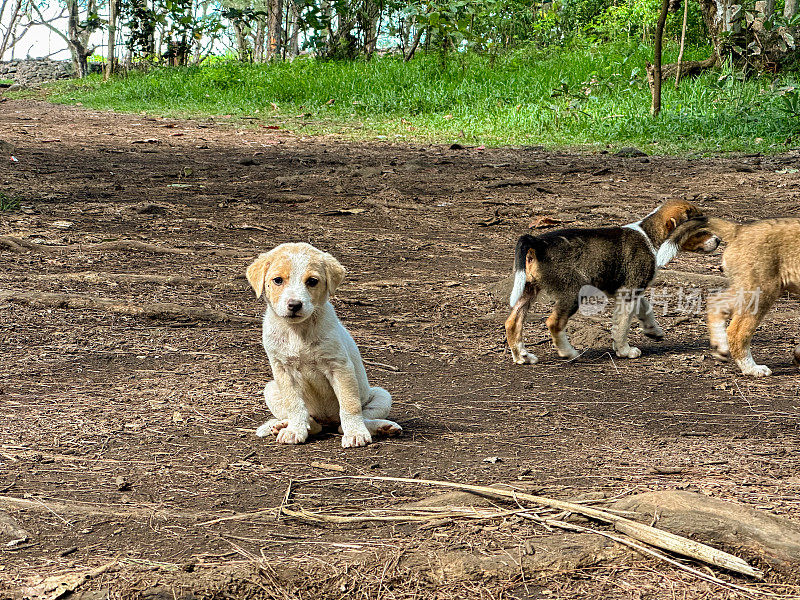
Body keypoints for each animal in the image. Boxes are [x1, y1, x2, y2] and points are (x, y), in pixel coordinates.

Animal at [247, 241, 404, 448]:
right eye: (278, 280)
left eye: (312, 281)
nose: (294, 305)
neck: (298, 331)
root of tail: (327, 420)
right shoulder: (283, 370)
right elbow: (294, 404)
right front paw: (295, 430)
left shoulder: (339, 367)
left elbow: (350, 404)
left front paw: (355, 433)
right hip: (271, 389)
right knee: (313, 423)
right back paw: (284, 425)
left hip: (382, 395)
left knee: (347, 423)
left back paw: (383, 427)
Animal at [506, 200, 720, 366]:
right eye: (699, 230)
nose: (718, 240)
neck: (650, 236)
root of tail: (537, 242)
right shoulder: (629, 292)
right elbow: (622, 325)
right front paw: (624, 351)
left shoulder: (632, 290)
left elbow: (646, 308)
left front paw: (653, 331)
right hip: (572, 293)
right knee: (554, 322)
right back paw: (569, 352)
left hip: (527, 289)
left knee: (512, 322)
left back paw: (522, 357)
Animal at [708, 216, 800, 376]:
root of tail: (739, 230)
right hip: (762, 290)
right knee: (737, 332)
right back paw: (752, 369)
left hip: (745, 288)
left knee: (716, 302)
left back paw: (720, 349)